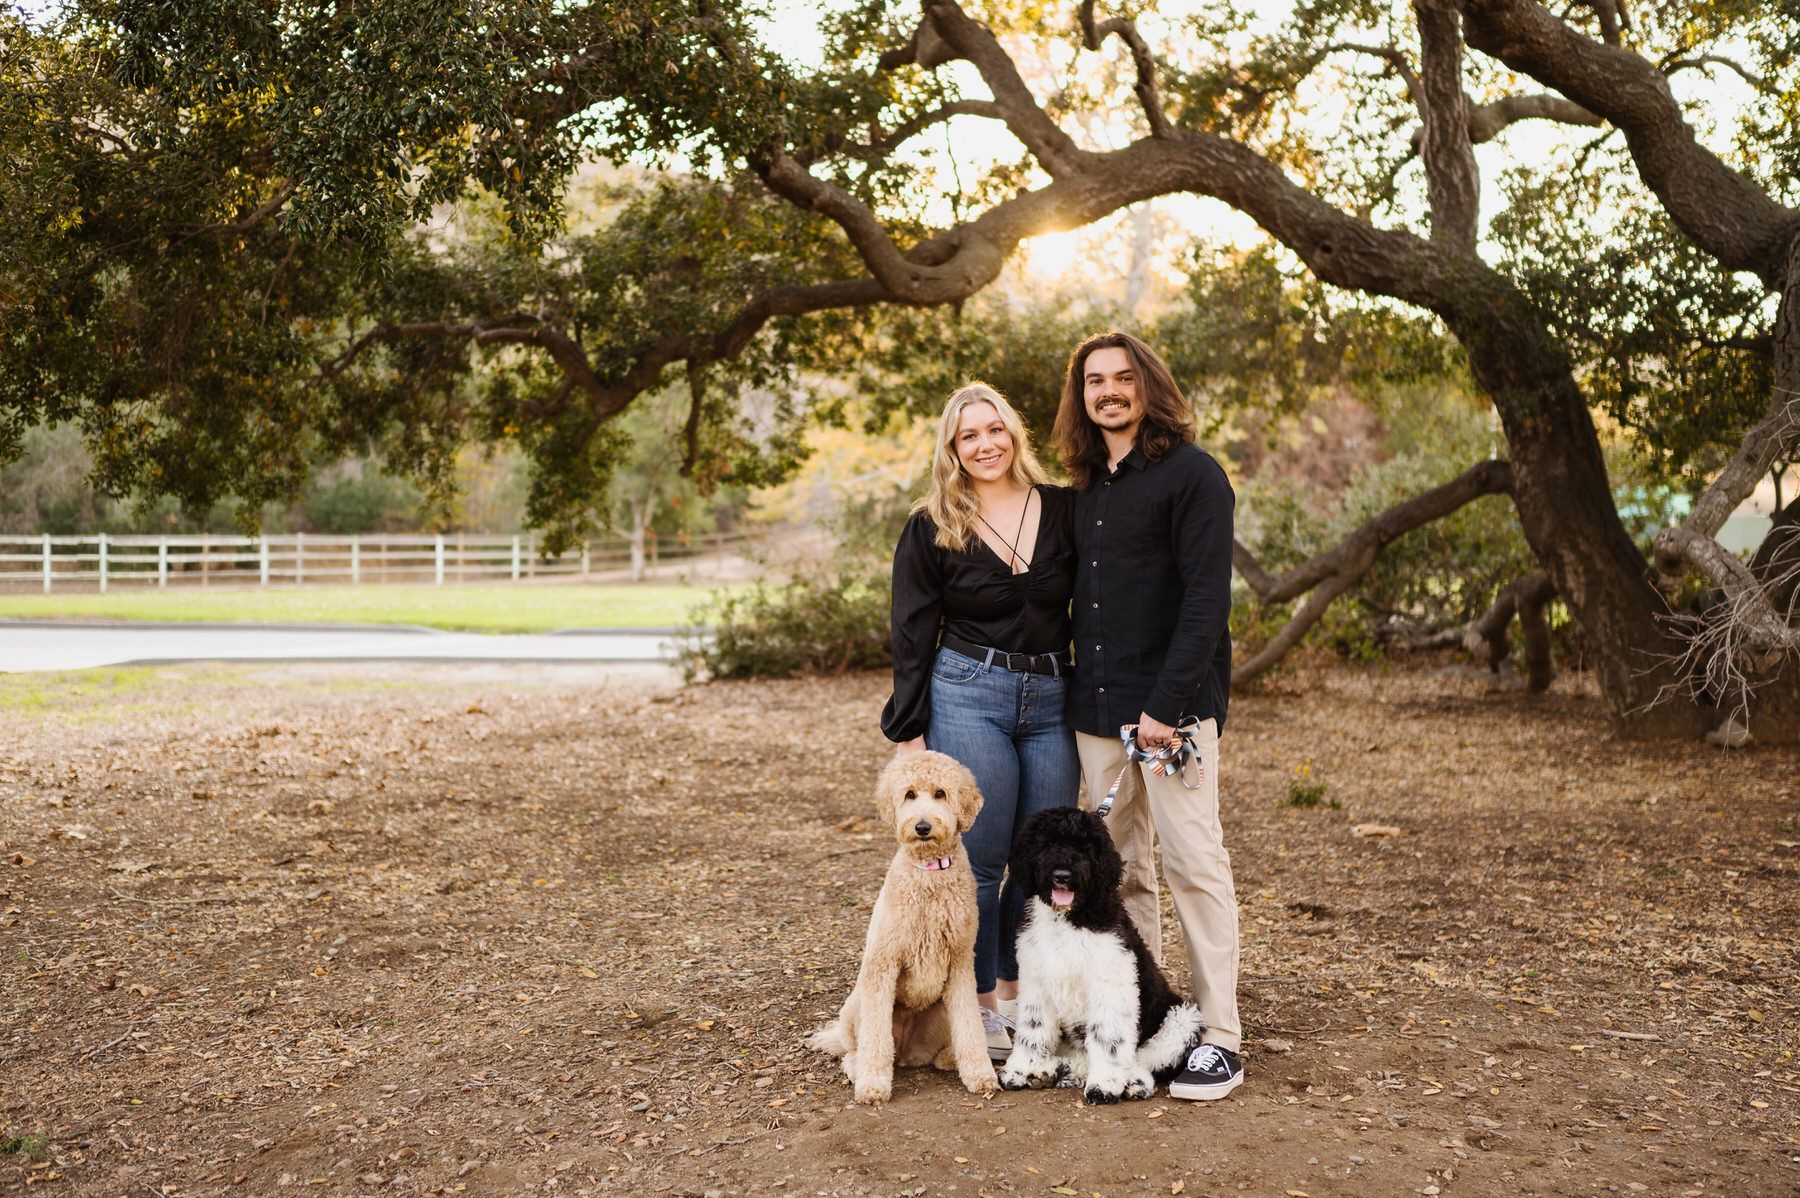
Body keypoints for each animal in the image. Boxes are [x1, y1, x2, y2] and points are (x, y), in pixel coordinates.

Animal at [806, 751, 1000, 1093]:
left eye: (941, 793)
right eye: (909, 794)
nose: (922, 826)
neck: (930, 873)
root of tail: (907, 1052)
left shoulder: (961, 963)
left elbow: (970, 1026)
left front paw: (980, 1073)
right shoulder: (884, 962)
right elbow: (875, 1038)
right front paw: (873, 1085)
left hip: (939, 1015)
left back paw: (948, 1057)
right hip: (857, 1005)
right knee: (857, 1049)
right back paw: (861, 1069)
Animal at [1000, 802, 1209, 1100]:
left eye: (1084, 847)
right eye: (1047, 844)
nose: (1062, 876)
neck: (1069, 918)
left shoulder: (1110, 985)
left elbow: (1107, 1039)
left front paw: (1105, 1084)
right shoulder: (1036, 982)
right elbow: (1033, 1030)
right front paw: (1022, 1069)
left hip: (1181, 1020)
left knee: (1142, 1060)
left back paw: (1132, 1082)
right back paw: (1049, 1071)